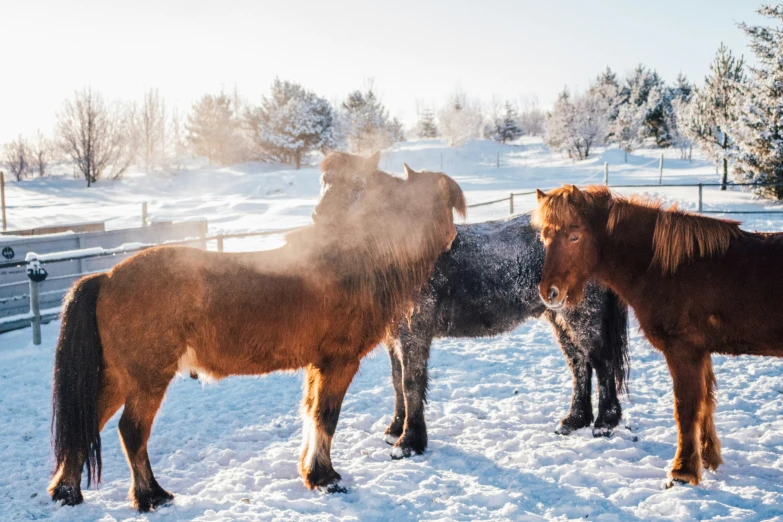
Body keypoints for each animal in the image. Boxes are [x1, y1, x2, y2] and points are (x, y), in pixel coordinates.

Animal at [49, 150, 466, 508]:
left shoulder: (317, 365)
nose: (452, 239)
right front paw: (325, 477)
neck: (352, 260)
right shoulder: (339, 362)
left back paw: (67, 491)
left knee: (88, 423)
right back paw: (151, 495)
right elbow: (326, 417)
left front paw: (311, 471)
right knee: (132, 431)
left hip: (119, 378)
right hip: (147, 379)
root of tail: (107, 277)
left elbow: (311, 413)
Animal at [382, 211, 632, 456]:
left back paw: (604, 423)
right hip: (561, 320)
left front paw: (408, 443)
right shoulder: (394, 339)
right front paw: (395, 430)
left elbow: (410, 383)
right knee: (578, 364)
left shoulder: (414, 333)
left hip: (582, 317)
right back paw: (574, 420)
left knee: (602, 363)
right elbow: (396, 381)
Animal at [532, 185, 783, 486]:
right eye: (545, 237)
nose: (549, 292)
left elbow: (686, 409)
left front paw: (683, 471)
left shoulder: (684, 351)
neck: (671, 269)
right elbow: (705, 405)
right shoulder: (701, 353)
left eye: (574, 236)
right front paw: (707, 459)